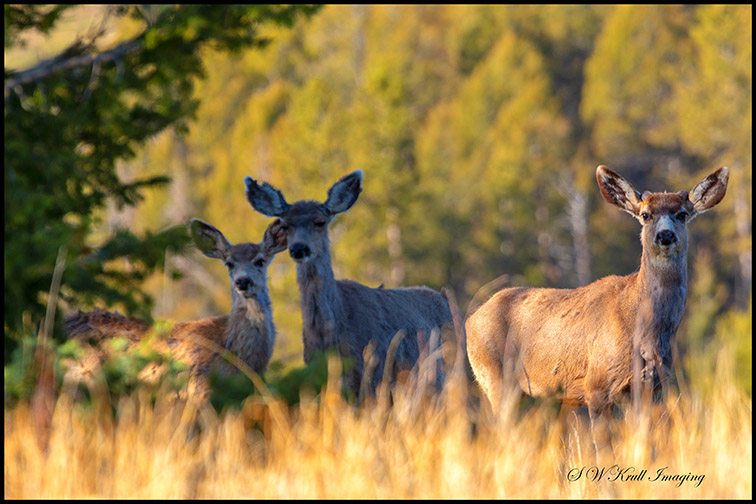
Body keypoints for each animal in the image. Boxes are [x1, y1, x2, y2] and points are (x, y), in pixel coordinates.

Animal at [465, 165, 728, 452]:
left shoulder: (652, 388)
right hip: (494, 376)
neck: (644, 329)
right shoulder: (597, 386)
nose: (665, 235)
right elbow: (603, 448)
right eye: (645, 214)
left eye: (682, 214)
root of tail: (471, 319)